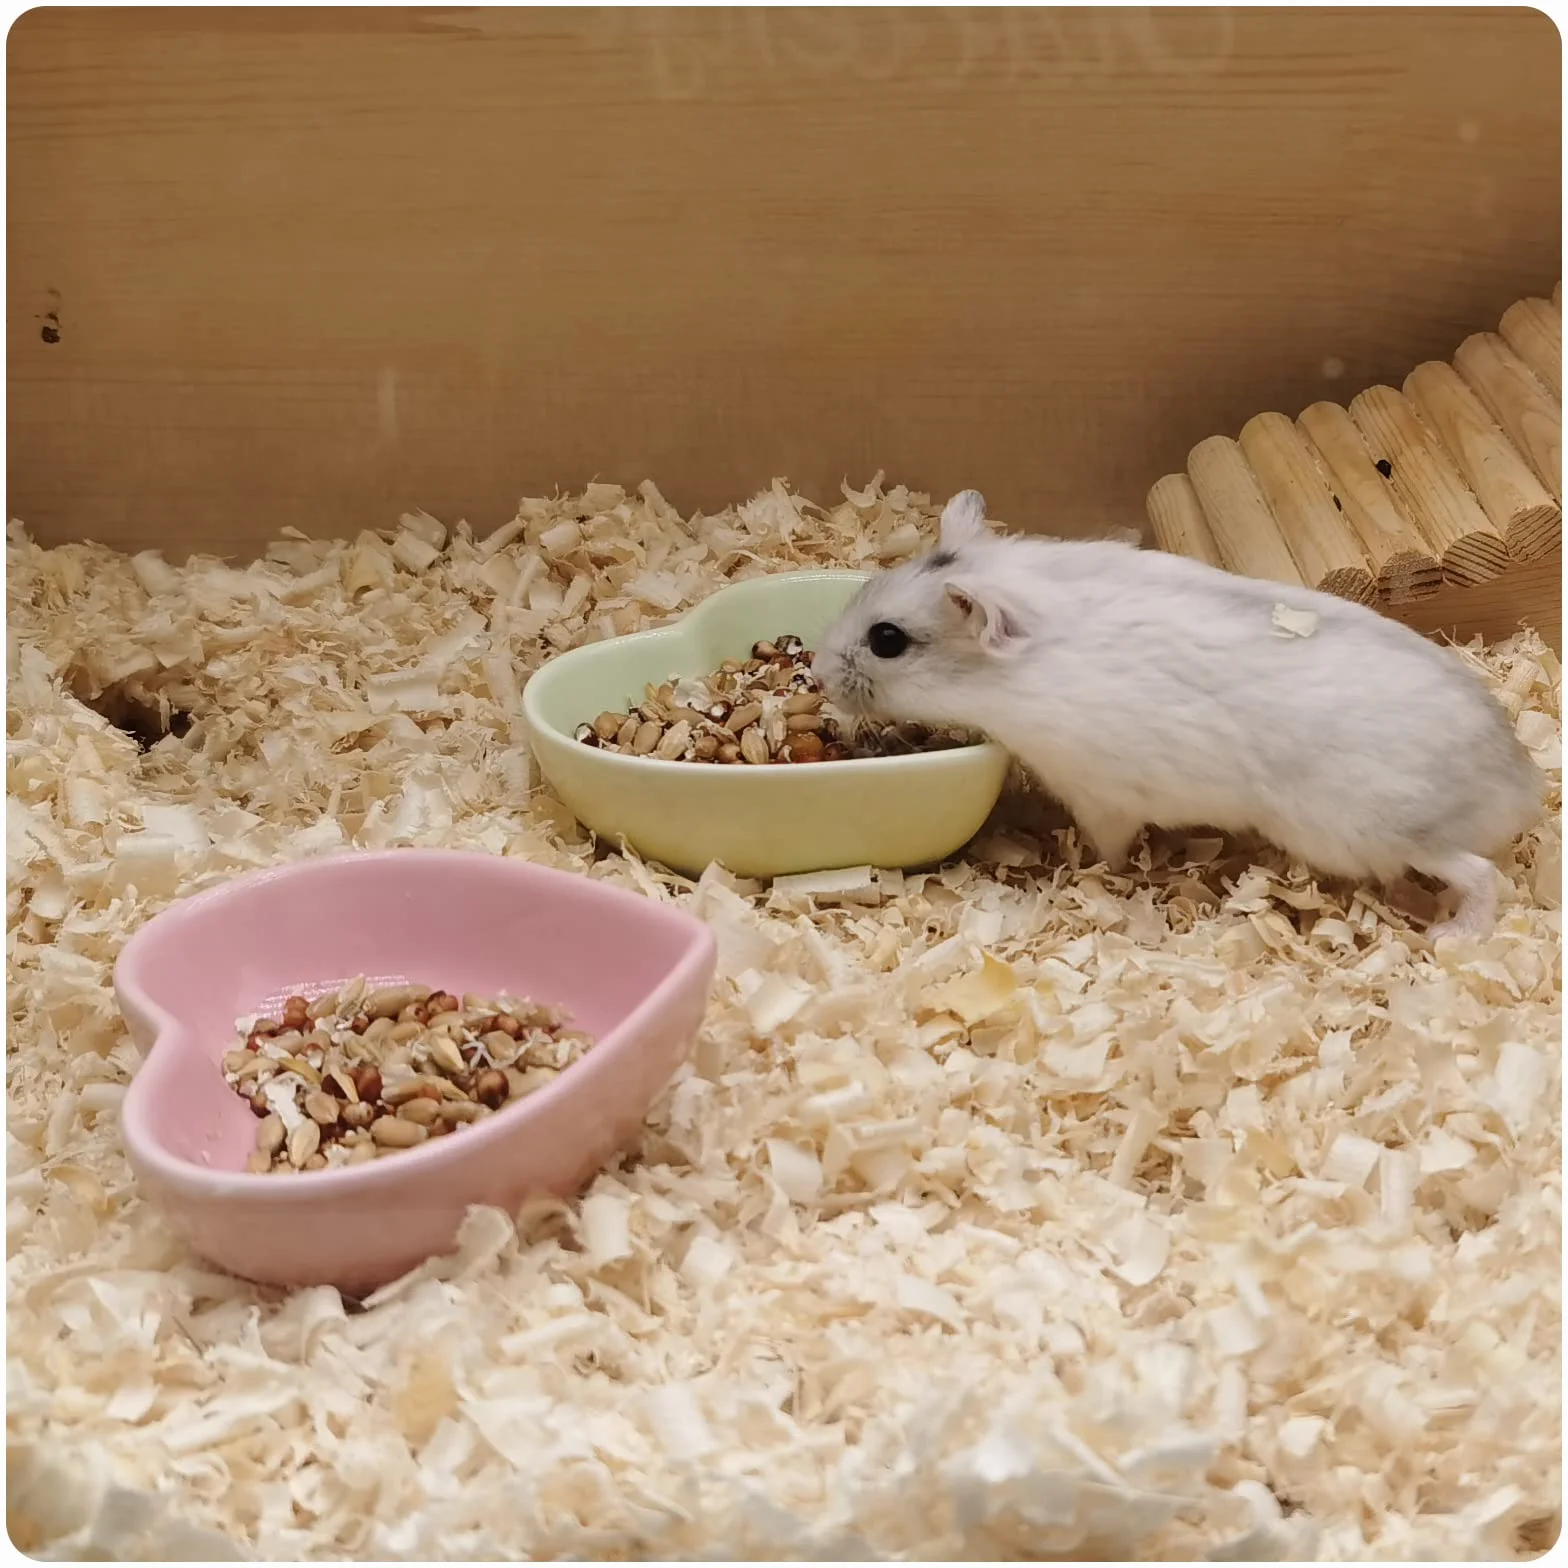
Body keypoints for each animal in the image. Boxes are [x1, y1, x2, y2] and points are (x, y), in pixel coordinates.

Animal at [813, 490, 1545, 941]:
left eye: (887, 640)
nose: (816, 674)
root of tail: (1524, 790)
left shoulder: (1100, 796)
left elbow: (1107, 849)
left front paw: (1085, 871)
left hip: (1375, 831)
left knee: (1481, 875)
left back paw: (1452, 932)